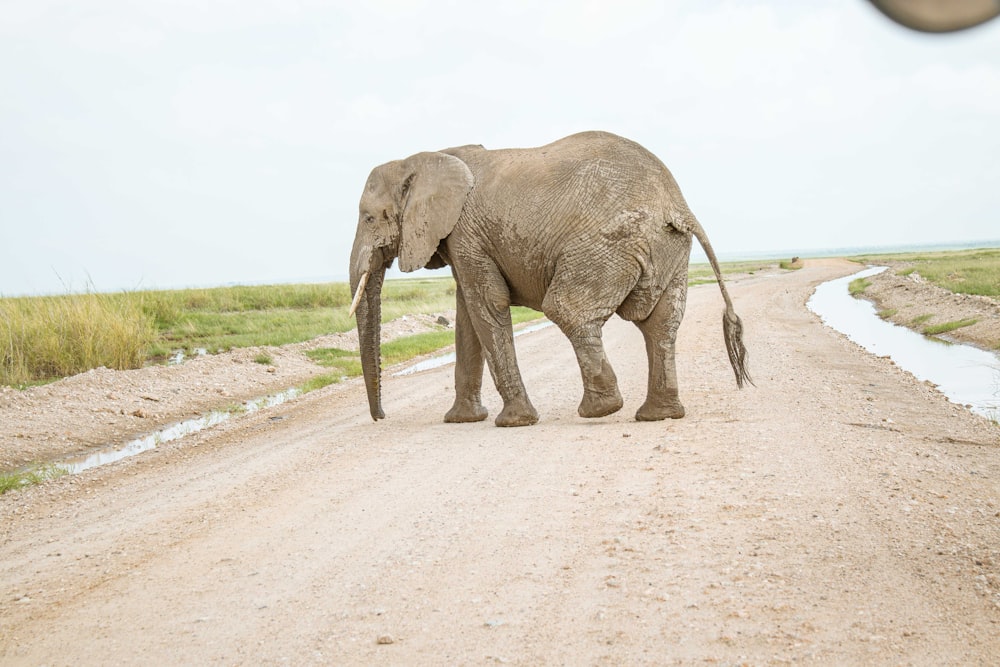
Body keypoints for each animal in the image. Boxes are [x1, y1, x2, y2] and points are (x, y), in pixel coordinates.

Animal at [348, 132, 748, 428]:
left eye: (369, 218)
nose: (381, 418)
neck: (423, 158)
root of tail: (677, 206)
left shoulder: (465, 232)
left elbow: (486, 306)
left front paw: (513, 423)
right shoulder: (462, 240)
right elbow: (467, 320)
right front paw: (461, 421)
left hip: (606, 245)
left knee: (567, 310)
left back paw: (599, 410)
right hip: (669, 250)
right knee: (660, 325)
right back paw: (658, 415)